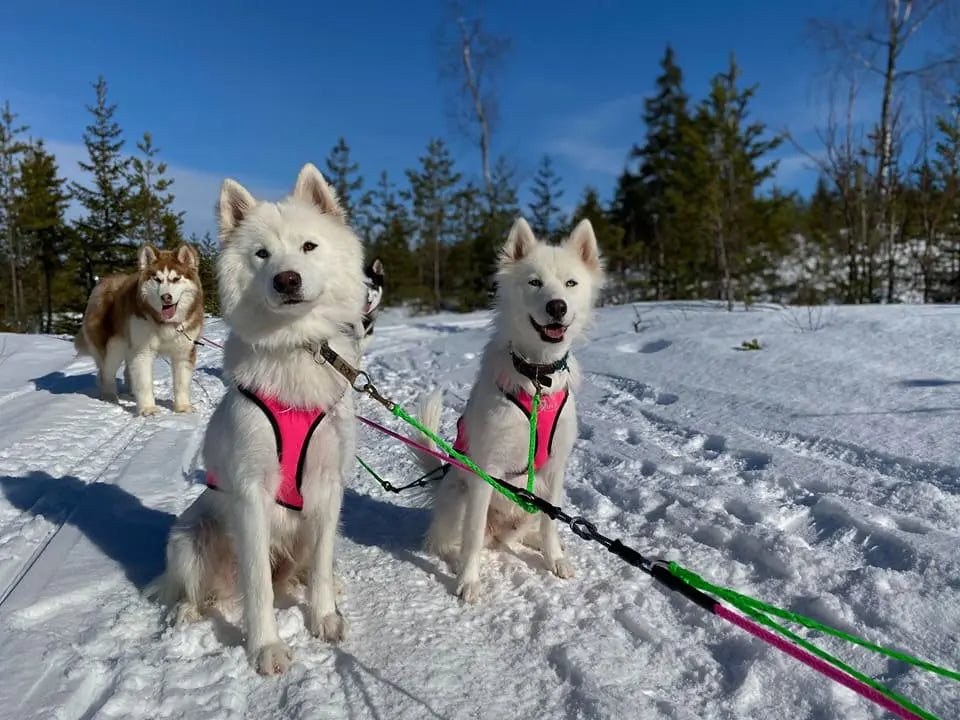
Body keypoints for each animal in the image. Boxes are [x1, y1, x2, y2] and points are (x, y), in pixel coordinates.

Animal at [147, 162, 368, 676]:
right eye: (261, 254)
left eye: (309, 246)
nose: (286, 280)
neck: (295, 348)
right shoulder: (251, 492)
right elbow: (259, 587)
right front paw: (266, 647)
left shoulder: (328, 486)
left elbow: (321, 566)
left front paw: (324, 617)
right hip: (190, 538)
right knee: (197, 589)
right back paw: (186, 612)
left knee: (306, 569)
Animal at [410, 218, 600, 600]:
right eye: (534, 282)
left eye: (571, 283)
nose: (557, 306)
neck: (537, 377)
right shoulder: (486, 470)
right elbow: (470, 540)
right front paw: (468, 581)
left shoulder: (555, 469)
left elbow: (550, 525)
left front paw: (555, 558)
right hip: (460, 495)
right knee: (447, 542)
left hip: (535, 499)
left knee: (531, 528)